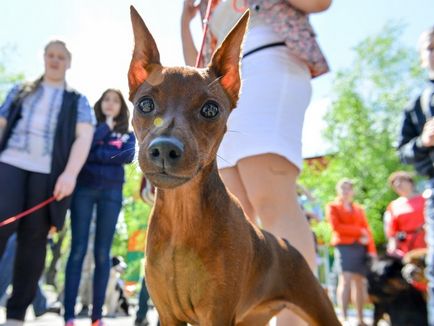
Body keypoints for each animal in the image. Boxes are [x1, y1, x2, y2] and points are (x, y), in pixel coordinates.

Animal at [127, 5, 340, 326]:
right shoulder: (167, 314)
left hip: (319, 306)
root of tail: (284, 243)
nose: (164, 148)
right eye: (145, 104)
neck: (182, 216)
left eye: (210, 109)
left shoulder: (217, 312)